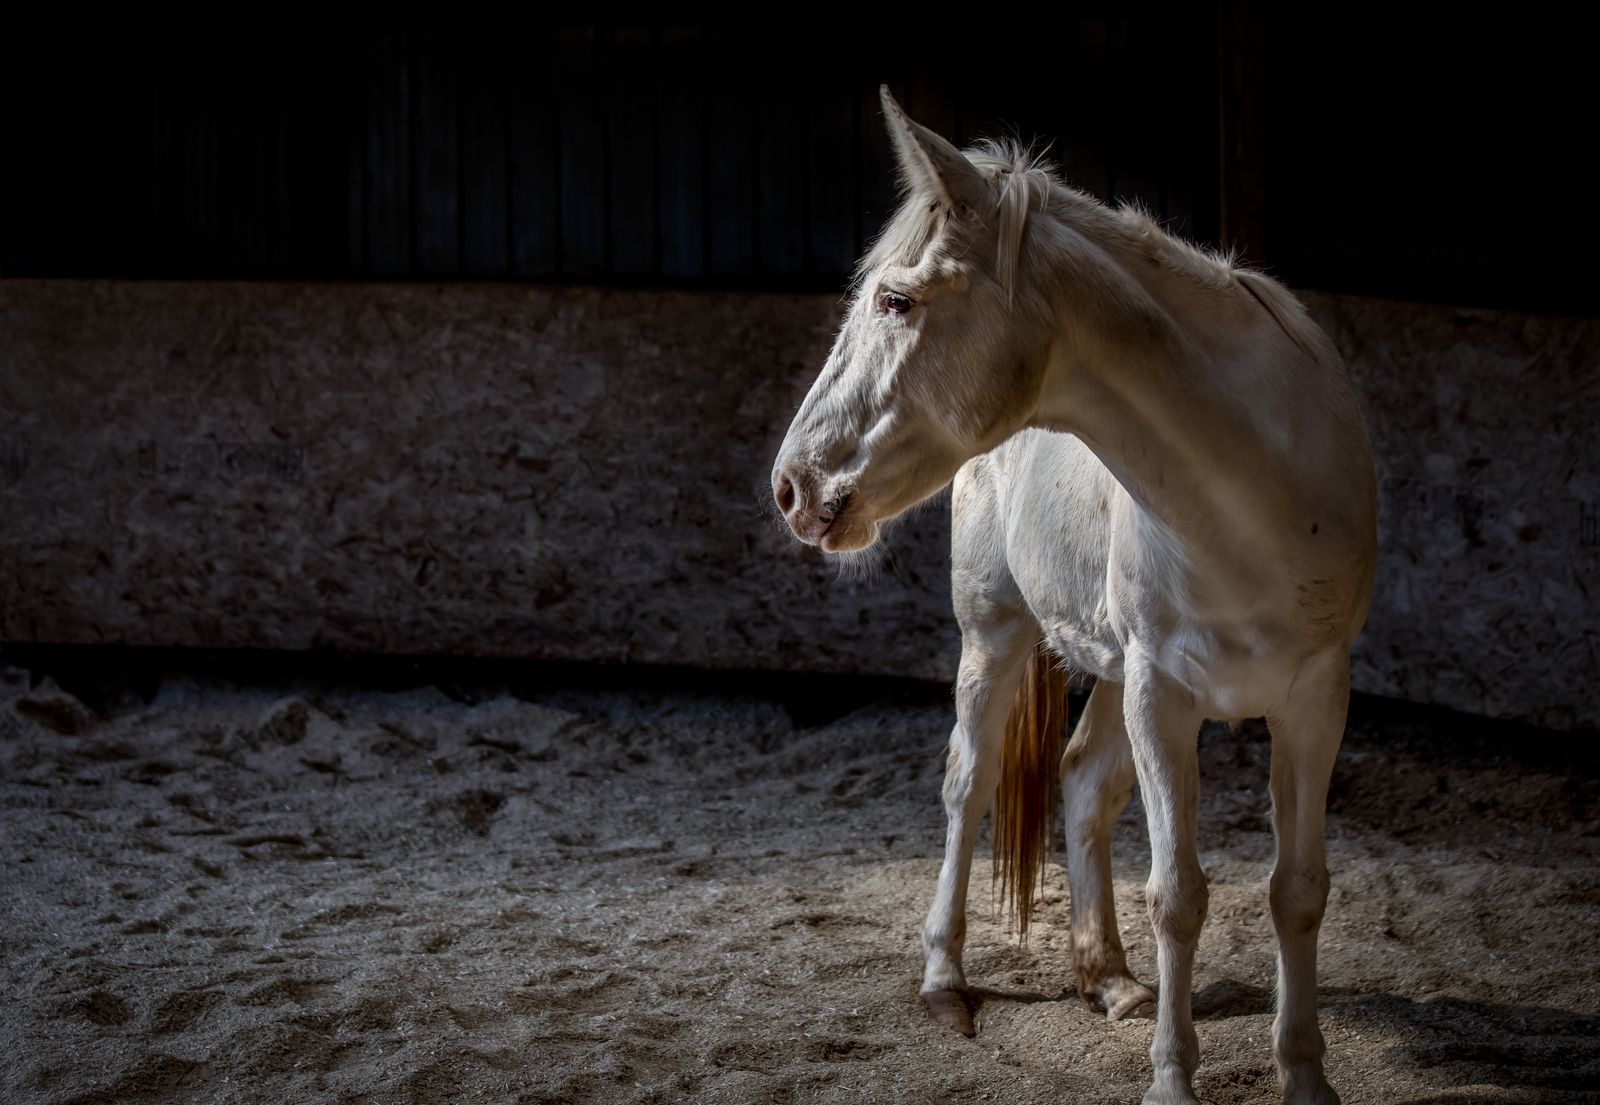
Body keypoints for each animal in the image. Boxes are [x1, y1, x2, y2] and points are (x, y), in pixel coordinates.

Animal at [770, 87, 1376, 1105]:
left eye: (896, 299)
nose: (793, 486)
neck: (1258, 491)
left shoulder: (1312, 698)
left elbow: (1297, 890)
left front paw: (1305, 1078)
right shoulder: (1164, 694)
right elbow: (1179, 894)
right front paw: (1172, 1081)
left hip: (1117, 673)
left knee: (1085, 781)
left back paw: (1112, 978)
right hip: (1000, 636)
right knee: (969, 781)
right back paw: (946, 980)